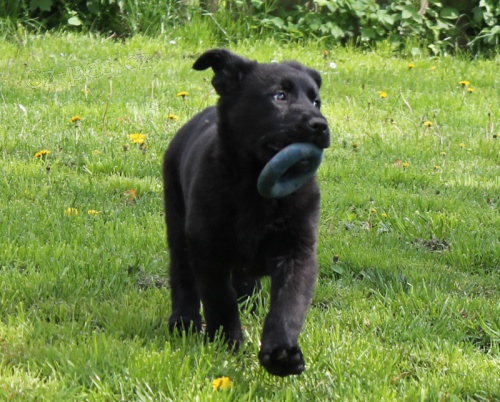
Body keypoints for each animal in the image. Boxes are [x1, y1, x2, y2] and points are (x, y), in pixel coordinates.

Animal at [162, 49, 330, 377]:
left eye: (316, 102)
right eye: (280, 96)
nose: (321, 125)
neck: (257, 193)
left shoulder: (298, 251)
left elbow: (288, 306)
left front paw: (281, 354)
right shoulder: (208, 249)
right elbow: (219, 298)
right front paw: (228, 342)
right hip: (177, 221)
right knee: (182, 273)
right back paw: (184, 321)